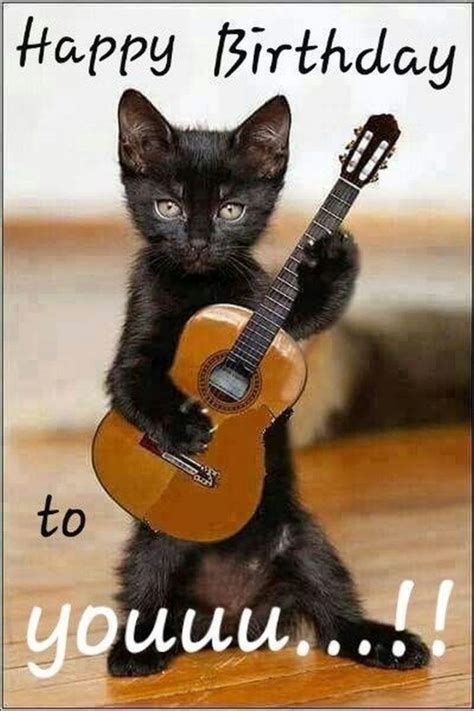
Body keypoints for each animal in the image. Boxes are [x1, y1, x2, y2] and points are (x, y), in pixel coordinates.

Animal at [104, 90, 430, 680]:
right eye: (169, 207)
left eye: (231, 210)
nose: (199, 242)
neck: (203, 285)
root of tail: (231, 616)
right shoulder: (133, 344)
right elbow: (134, 384)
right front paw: (185, 430)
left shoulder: (279, 325)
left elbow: (316, 308)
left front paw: (331, 255)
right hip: (154, 548)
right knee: (146, 597)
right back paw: (134, 652)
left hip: (306, 544)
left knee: (336, 618)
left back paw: (385, 643)